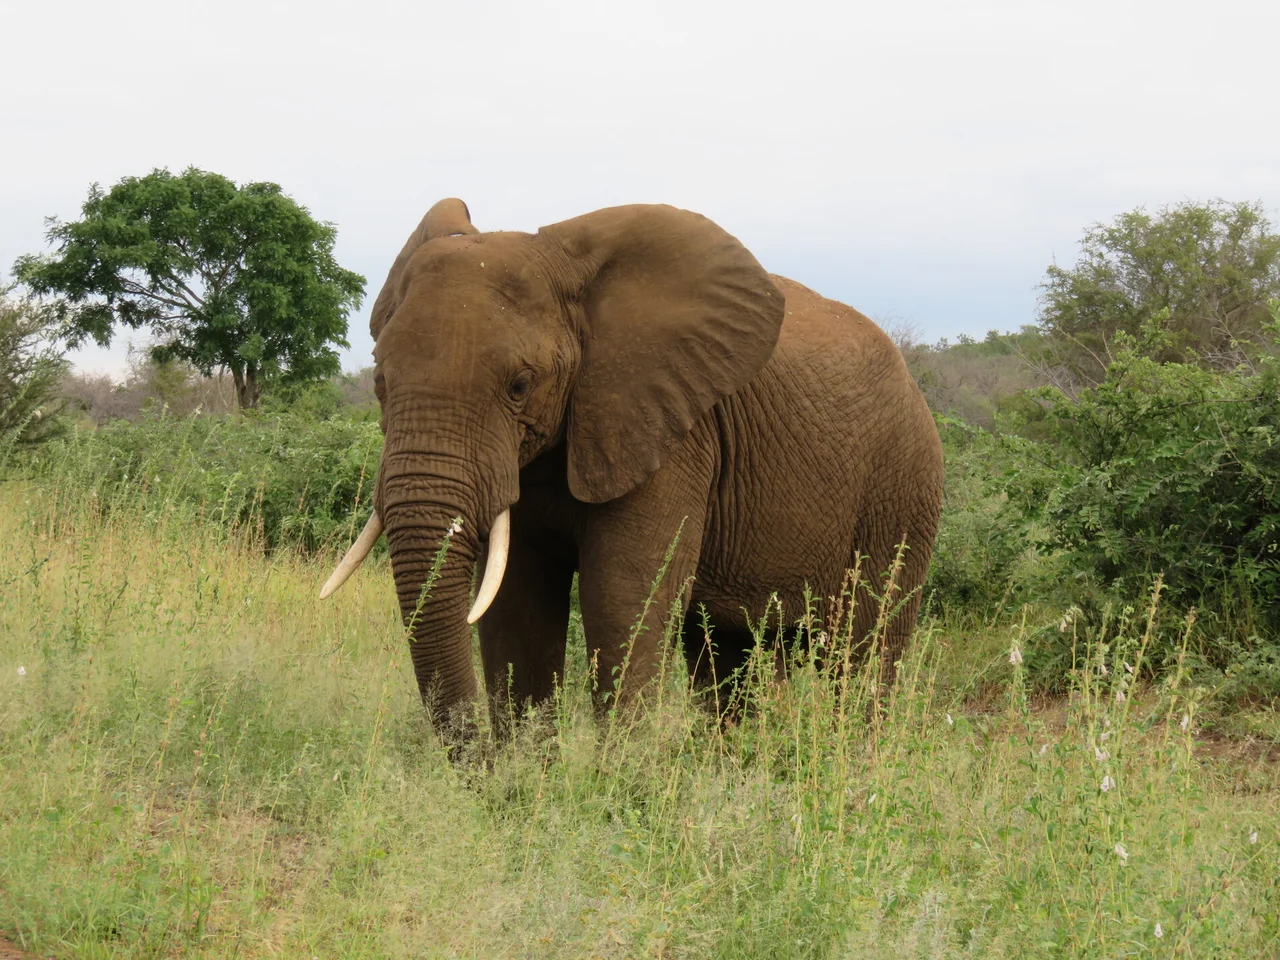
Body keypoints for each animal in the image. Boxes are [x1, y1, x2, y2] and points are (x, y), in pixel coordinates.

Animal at [321, 198, 944, 729]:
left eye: (520, 386)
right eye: (380, 381)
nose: (479, 770)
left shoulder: (675, 430)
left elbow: (621, 601)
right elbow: (516, 603)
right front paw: (522, 784)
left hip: (904, 487)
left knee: (865, 652)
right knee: (727, 657)